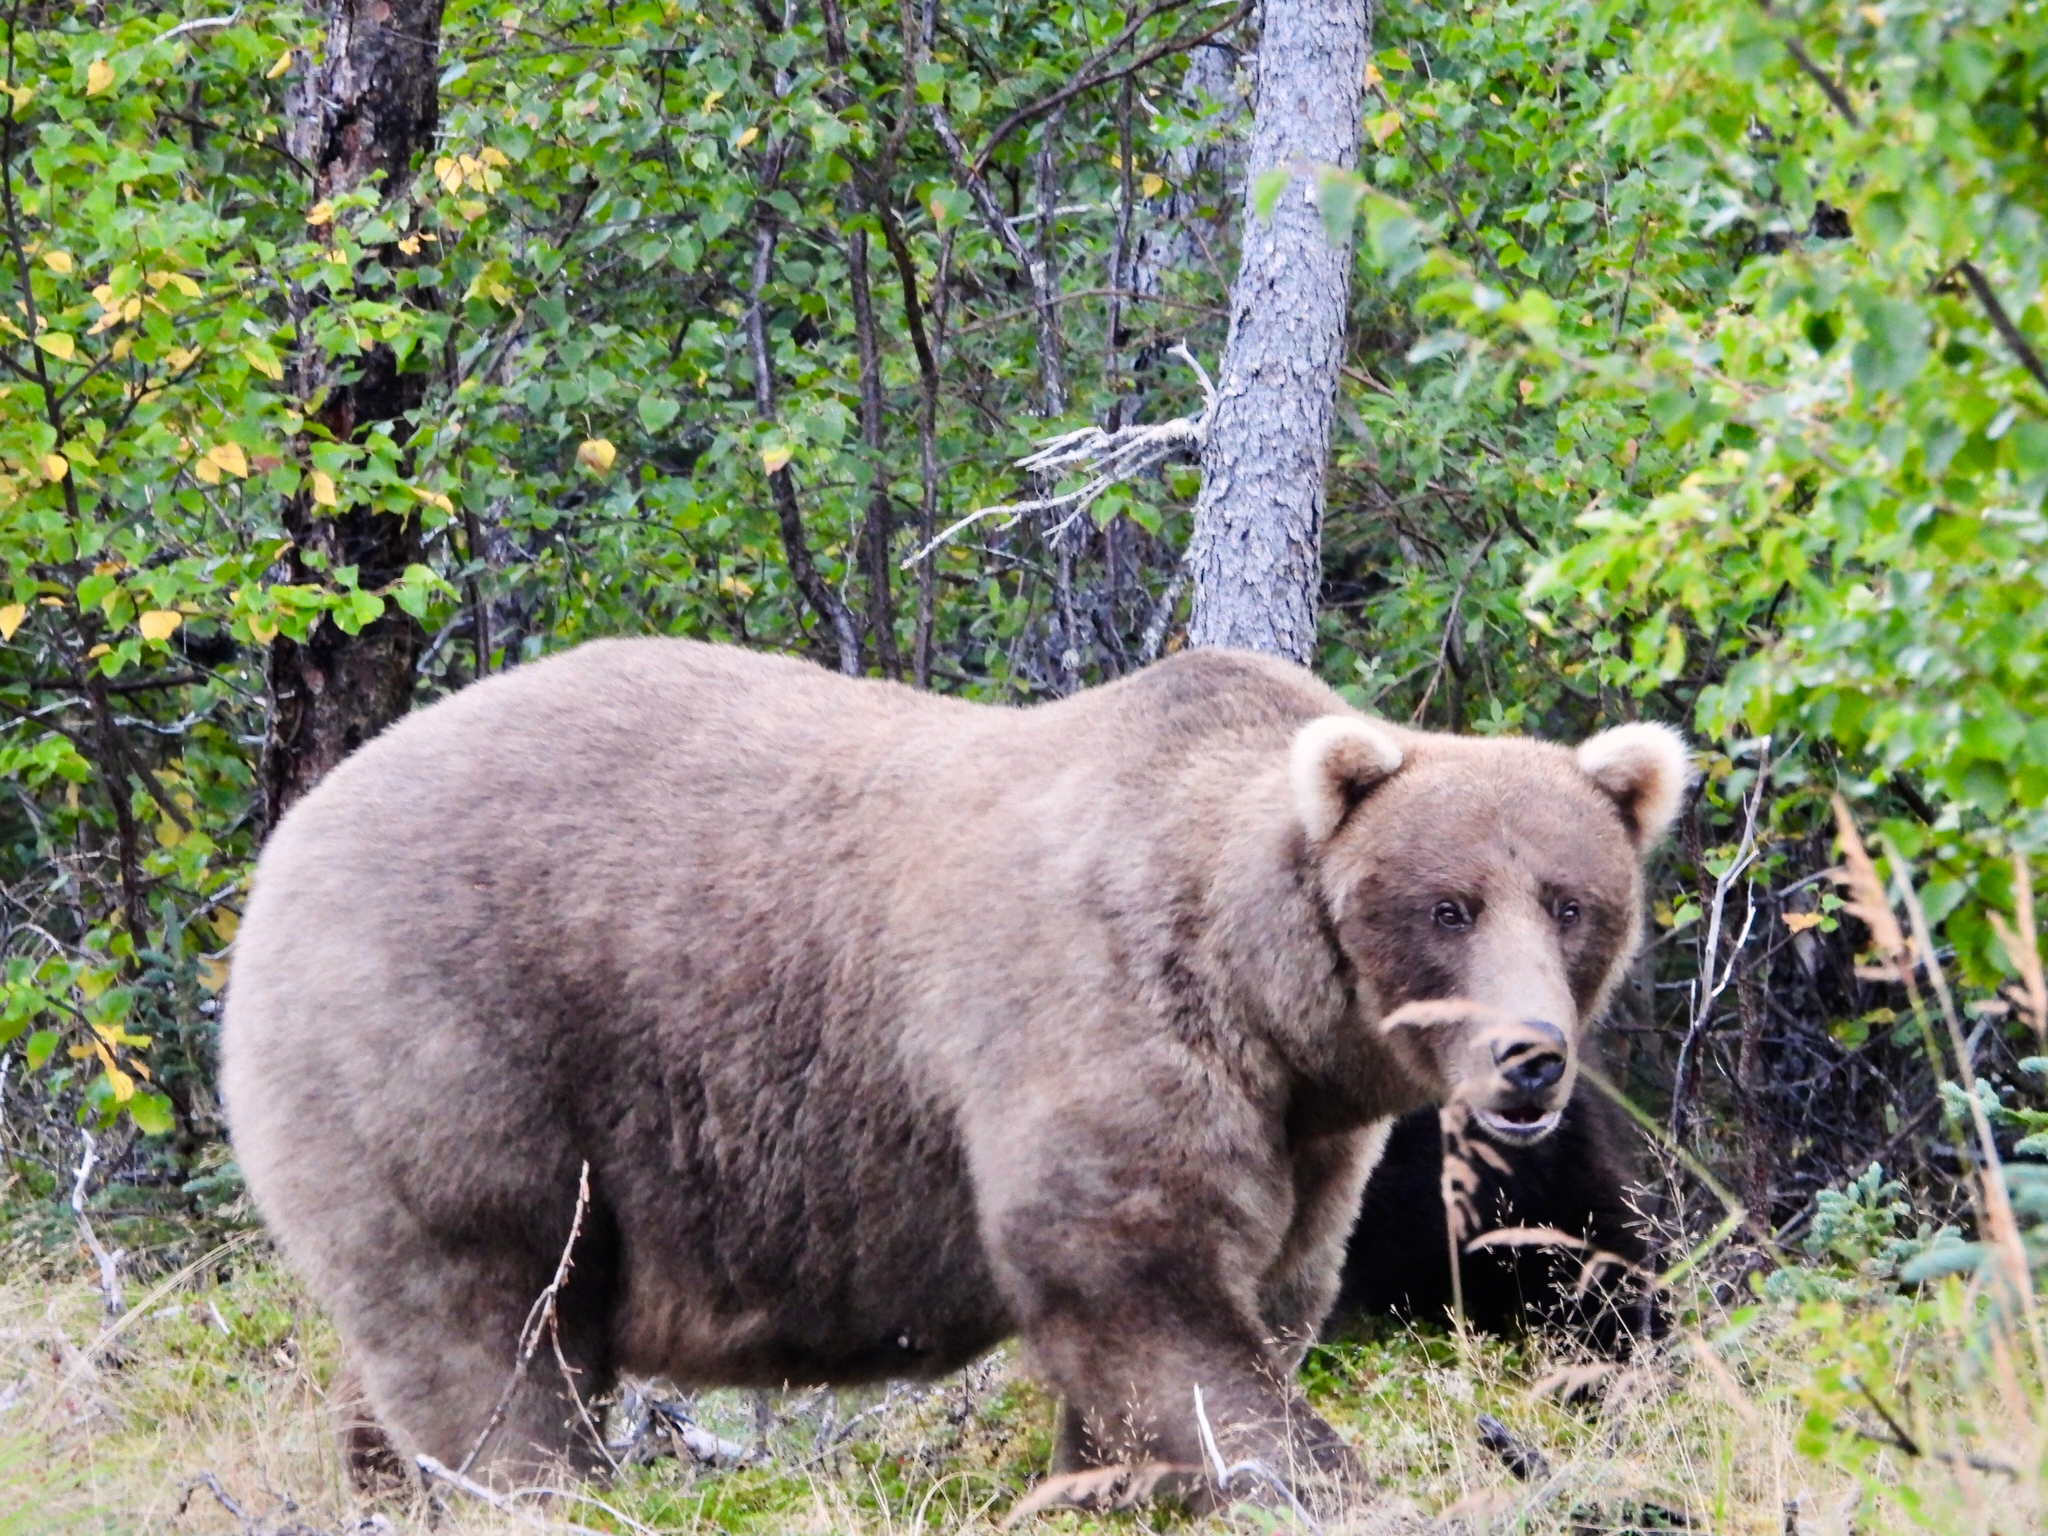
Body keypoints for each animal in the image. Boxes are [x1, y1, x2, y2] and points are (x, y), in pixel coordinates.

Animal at [219, 639, 1687, 1510]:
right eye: (1446, 904)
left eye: (1569, 903)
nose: (1527, 1059)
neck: (1268, 1001)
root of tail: (293, 832)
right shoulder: (1103, 1018)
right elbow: (1141, 1288)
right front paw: (1310, 1476)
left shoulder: (1306, 1137)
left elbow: (1258, 1297)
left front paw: (1102, 1486)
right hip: (461, 1047)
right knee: (494, 1341)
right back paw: (536, 1490)